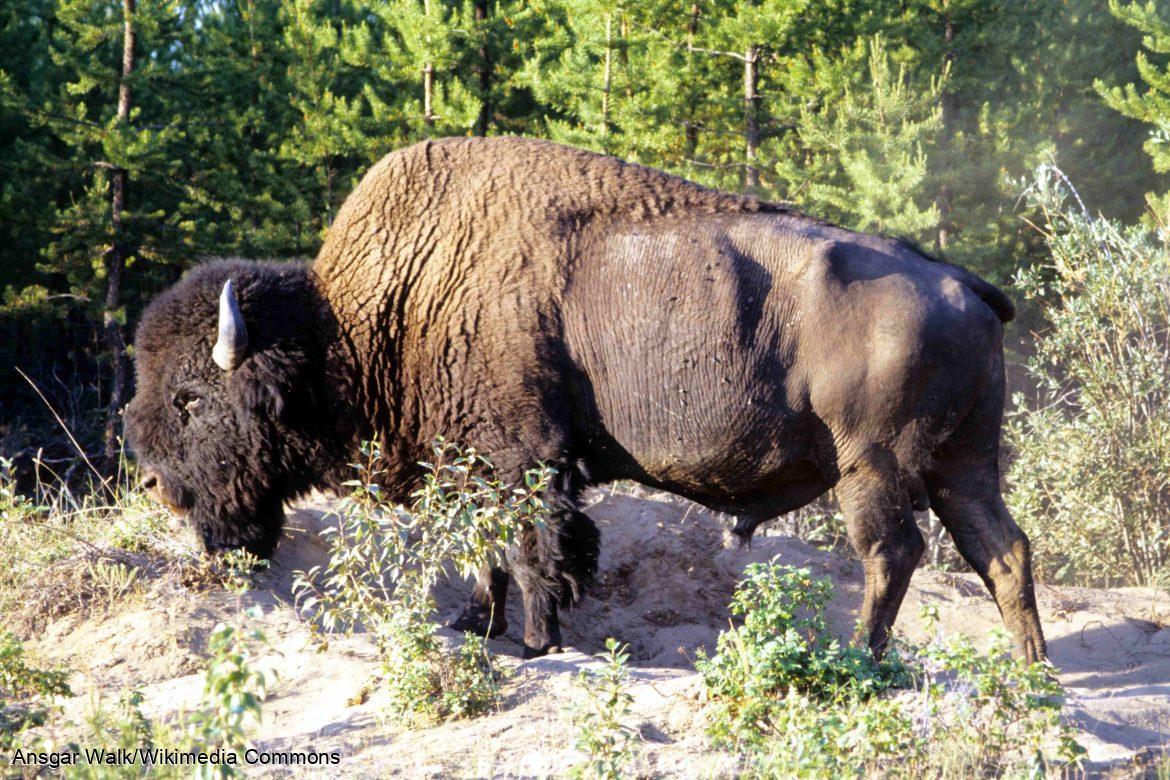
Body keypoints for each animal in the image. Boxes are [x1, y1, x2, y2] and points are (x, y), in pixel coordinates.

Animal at [123, 137, 1048, 664]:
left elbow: (539, 548)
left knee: (892, 553)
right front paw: (476, 626)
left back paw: (862, 662)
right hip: (964, 463)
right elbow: (489, 550)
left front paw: (537, 643)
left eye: (192, 398)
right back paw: (1031, 671)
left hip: (876, 465)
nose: (158, 486)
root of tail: (963, 283)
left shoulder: (525, 459)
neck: (361, 321)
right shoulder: (473, 467)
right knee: (1003, 551)